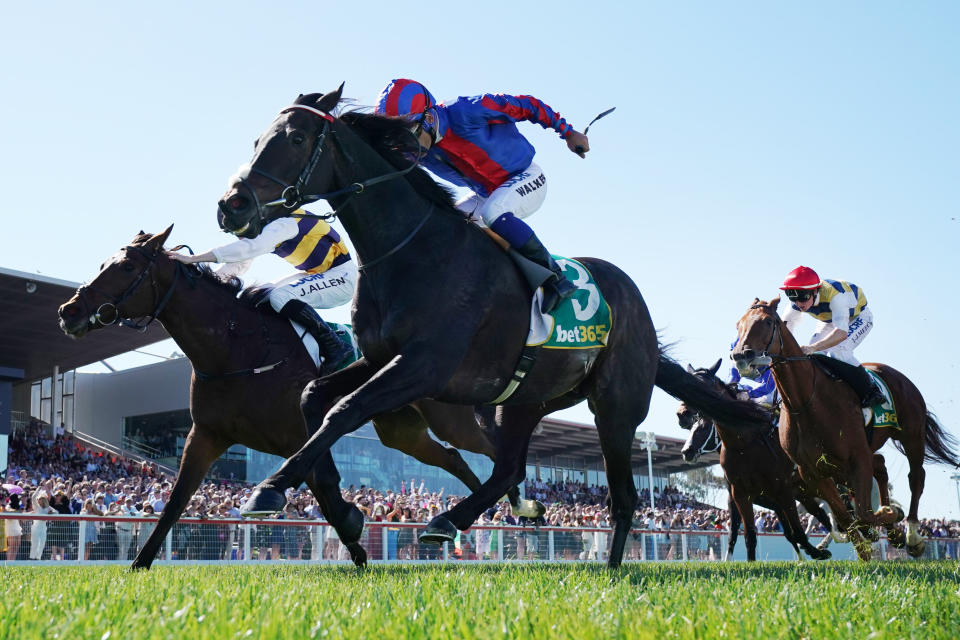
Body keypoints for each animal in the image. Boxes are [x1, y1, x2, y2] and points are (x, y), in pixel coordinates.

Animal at [58, 228, 540, 568]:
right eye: (103, 262)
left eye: (124, 267)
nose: (69, 311)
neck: (238, 346)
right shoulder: (206, 435)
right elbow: (177, 499)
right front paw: (139, 565)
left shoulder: (297, 435)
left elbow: (324, 486)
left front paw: (353, 530)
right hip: (400, 431)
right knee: (456, 459)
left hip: (444, 417)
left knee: (489, 451)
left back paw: (521, 501)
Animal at [216, 86, 772, 568]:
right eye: (258, 139)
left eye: (294, 138)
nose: (232, 206)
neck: (411, 251)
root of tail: (639, 310)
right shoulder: (379, 358)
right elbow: (315, 399)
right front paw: (342, 511)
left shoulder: (423, 365)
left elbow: (345, 410)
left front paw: (271, 488)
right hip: (522, 400)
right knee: (511, 467)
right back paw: (451, 520)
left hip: (614, 405)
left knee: (623, 496)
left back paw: (611, 567)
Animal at [676, 360, 832, 560]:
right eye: (692, 429)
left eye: (703, 429)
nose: (682, 413)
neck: (743, 444)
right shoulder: (740, 495)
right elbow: (746, 535)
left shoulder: (781, 491)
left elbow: (795, 532)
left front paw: (811, 554)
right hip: (804, 491)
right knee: (823, 514)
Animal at [732, 298, 956, 556]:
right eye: (738, 324)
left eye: (768, 322)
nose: (741, 356)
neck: (805, 401)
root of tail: (900, 377)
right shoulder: (812, 471)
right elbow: (844, 514)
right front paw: (864, 546)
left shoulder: (857, 458)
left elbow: (863, 513)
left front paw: (890, 517)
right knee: (880, 466)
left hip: (911, 435)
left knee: (916, 477)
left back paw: (911, 535)